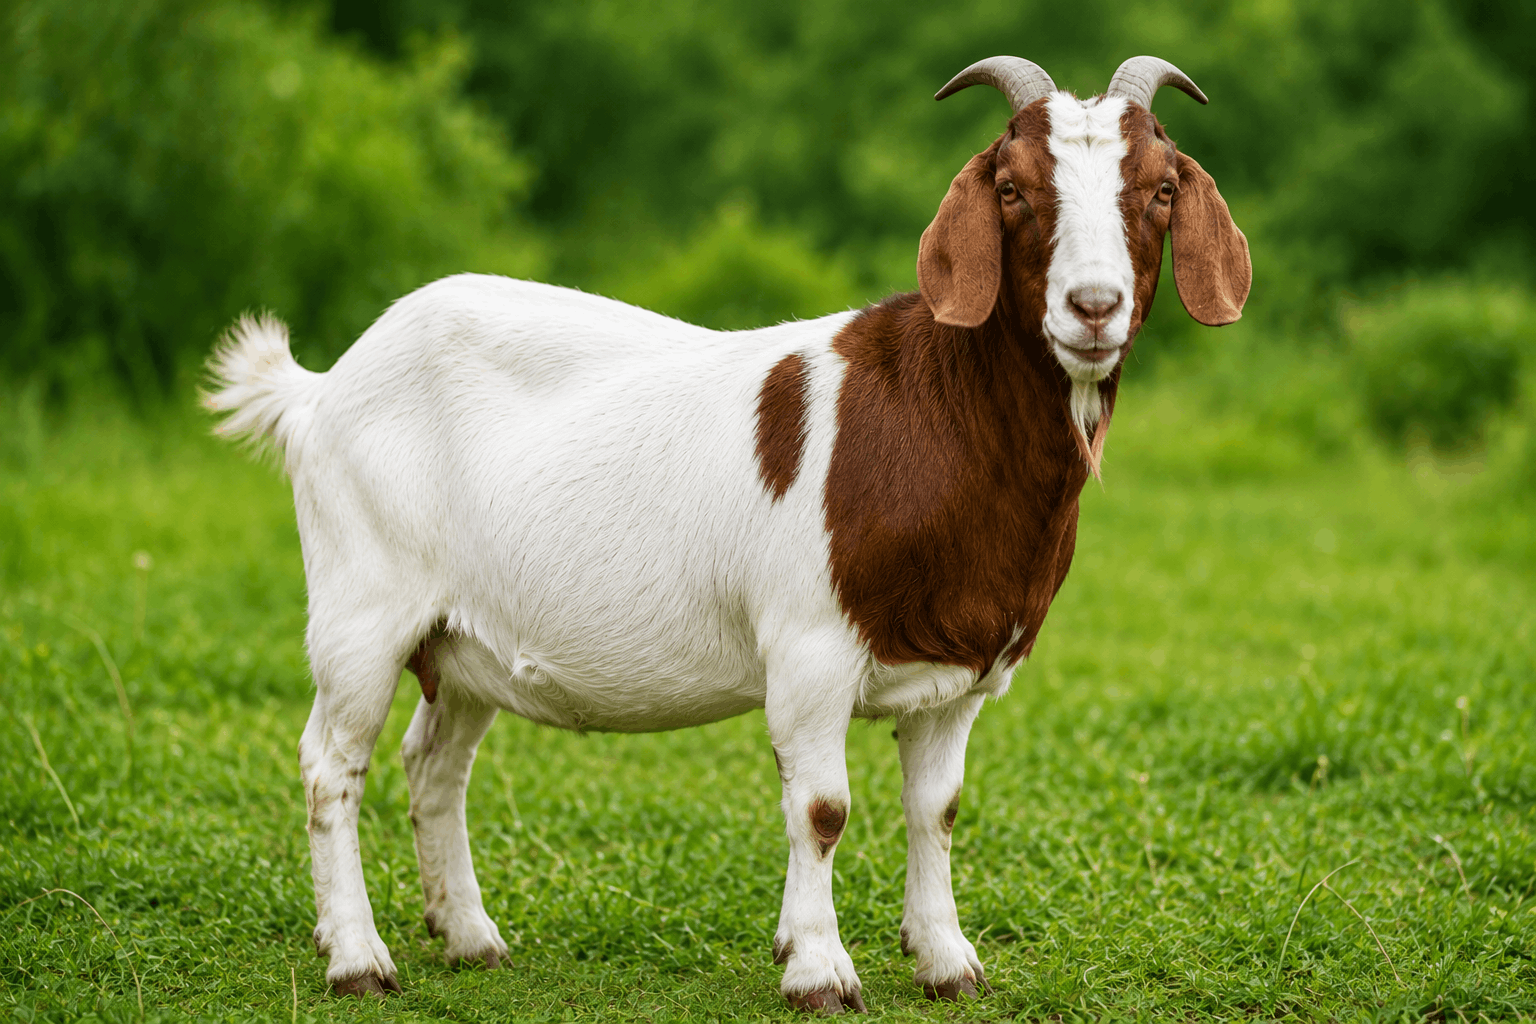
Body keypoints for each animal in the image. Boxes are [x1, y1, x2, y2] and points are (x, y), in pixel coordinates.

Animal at [207, 54, 1249, 1013]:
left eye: (1160, 188)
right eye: (1011, 187)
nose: (1093, 306)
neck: (936, 420)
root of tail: (319, 390)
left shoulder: (962, 669)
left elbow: (938, 810)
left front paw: (946, 961)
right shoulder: (809, 647)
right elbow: (822, 808)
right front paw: (820, 971)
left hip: (462, 639)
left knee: (436, 763)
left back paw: (469, 937)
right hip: (361, 604)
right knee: (331, 765)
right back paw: (356, 959)